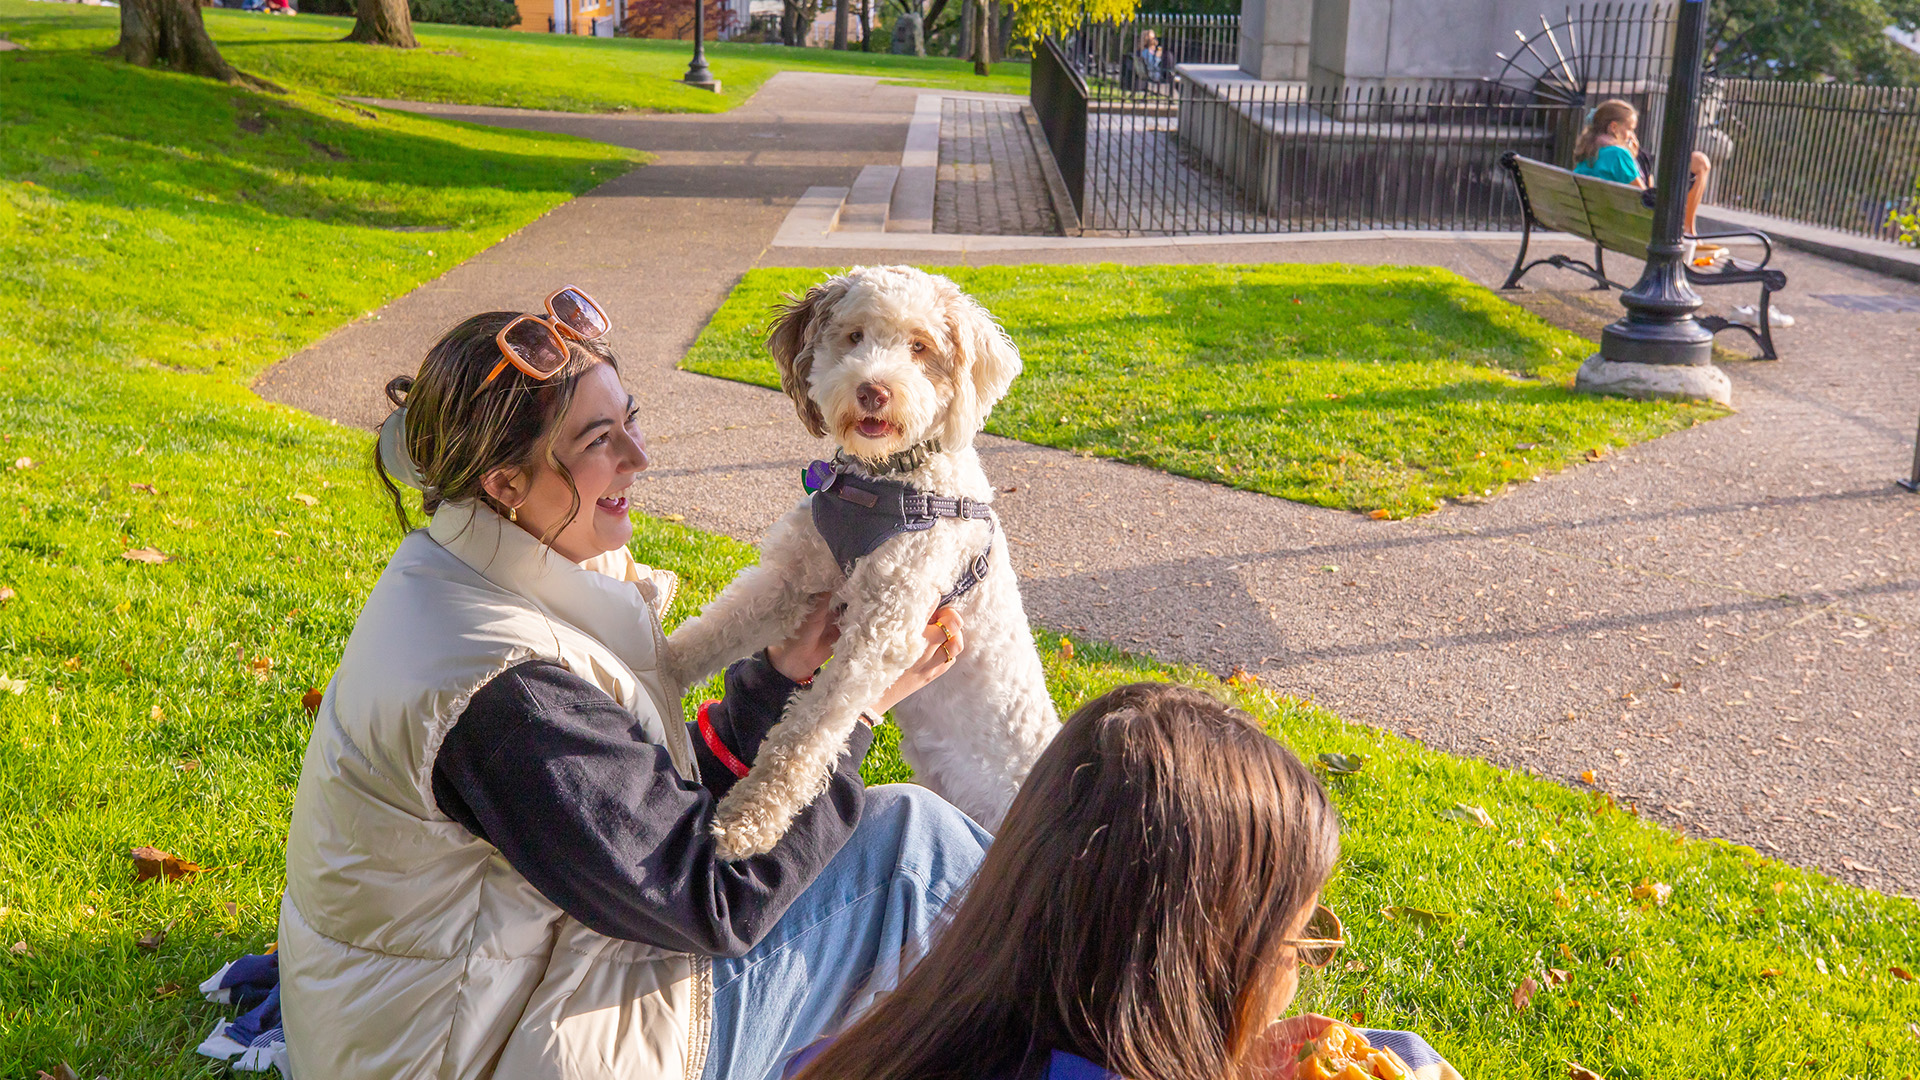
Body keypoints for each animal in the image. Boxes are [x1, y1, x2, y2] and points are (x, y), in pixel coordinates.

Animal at [668, 263, 1067, 857]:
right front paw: (653, 665)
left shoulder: (881, 633)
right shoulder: (789, 577)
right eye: (854, 336)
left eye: (921, 347)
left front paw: (749, 820)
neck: (882, 483)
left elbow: (806, 734)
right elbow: (713, 629)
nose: (873, 390)